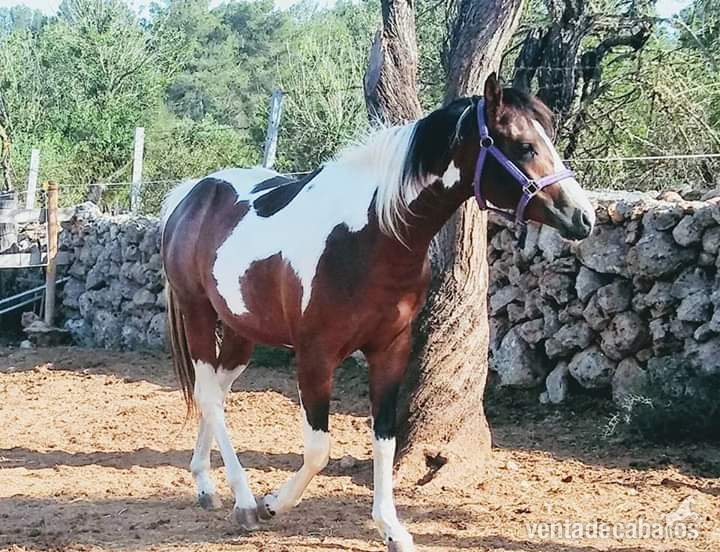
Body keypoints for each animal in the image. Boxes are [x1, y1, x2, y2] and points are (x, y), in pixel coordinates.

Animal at [160, 73, 595, 552]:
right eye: (523, 146)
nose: (585, 217)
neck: (371, 236)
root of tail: (193, 194)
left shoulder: (390, 350)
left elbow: (384, 439)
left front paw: (391, 527)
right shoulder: (315, 356)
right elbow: (318, 450)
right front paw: (274, 503)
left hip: (242, 330)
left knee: (216, 391)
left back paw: (205, 483)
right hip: (198, 313)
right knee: (209, 395)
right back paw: (241, 500)